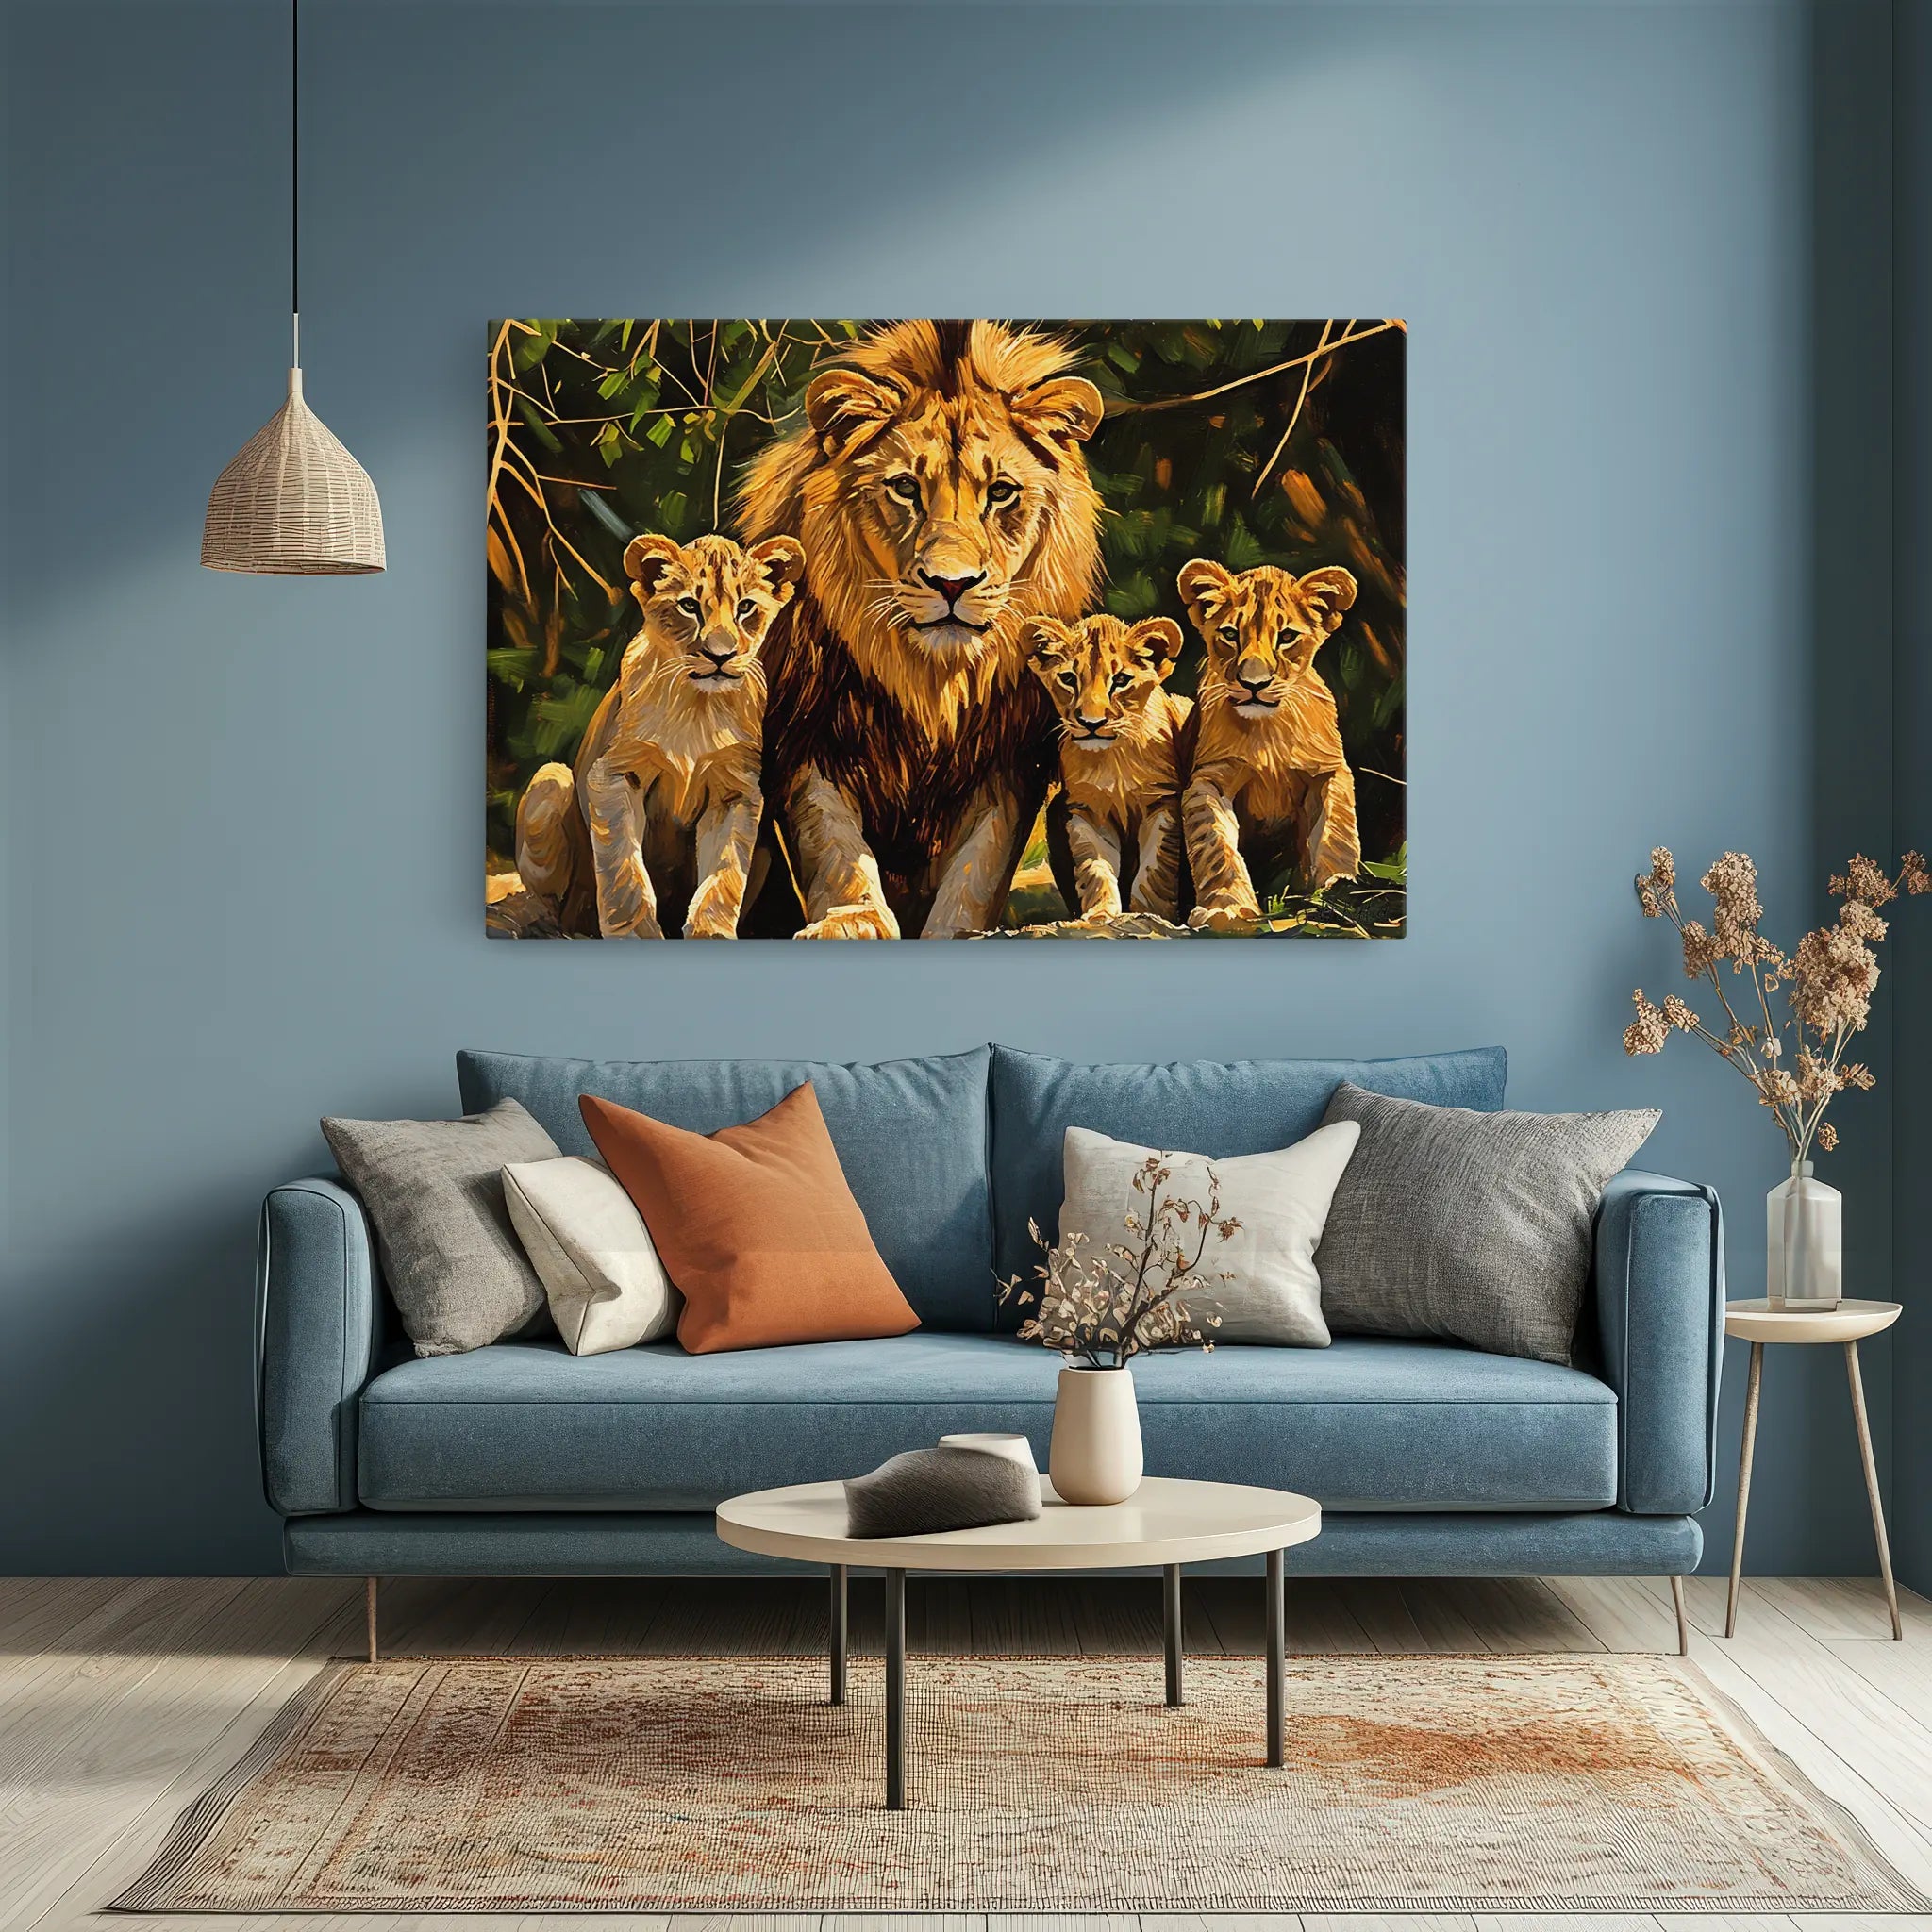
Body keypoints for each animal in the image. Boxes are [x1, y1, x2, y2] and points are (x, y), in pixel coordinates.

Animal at [515, 531, 804, 938]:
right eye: (689, 606)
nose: (720, 655)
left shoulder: (737, 790)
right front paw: (634, 933)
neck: (697, 706)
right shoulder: (614, 774)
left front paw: (711, 932)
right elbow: (624, 870)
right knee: (550, 900)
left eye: (746, 607)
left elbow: (724, 875)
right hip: (552, 779)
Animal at [736, 320, 1105, 938]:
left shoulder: (1006, 763)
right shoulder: (808, 739)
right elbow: (835, 849)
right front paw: (853, 919)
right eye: (905, 488)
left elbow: (977, 870)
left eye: (1001, 492)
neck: (931, 680)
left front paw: (956, 930)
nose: (951, 584)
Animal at [1024, 613, 1193, 923]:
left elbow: (1153, 869)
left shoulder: (1162, 803)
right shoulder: (1086, 811)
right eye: (1068, 678)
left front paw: (1149, 914)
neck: (1112, 758)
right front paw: (1100, 914)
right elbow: (1095, 868)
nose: (1091, 723)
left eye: (1121, 680)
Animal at [1175, 559, 1361, 931]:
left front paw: (1339, 890)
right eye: (1230, 634)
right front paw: (1228, 907)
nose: (1254, 684)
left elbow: (1336, 832)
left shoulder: (1327, 772)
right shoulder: (1210, 778)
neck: (1268, 732)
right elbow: (1215, 844)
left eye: (1287, 637)